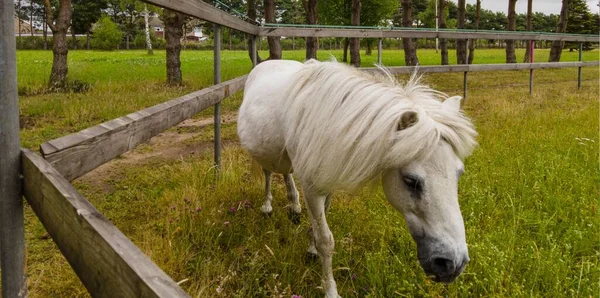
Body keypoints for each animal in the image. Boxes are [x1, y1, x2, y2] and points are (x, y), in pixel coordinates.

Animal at [237, 59, 476, 296]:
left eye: (459, 174)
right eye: (410, 181)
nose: (453, 264)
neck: (329, 120)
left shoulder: (327, 182)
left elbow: (320, 223)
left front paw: (311, 248)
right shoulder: (312, 190)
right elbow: (325, 240)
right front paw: (330, 289)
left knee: (286, 172)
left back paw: (294, 206)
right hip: (264, 153)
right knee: (269, 173)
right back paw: (267, 206)